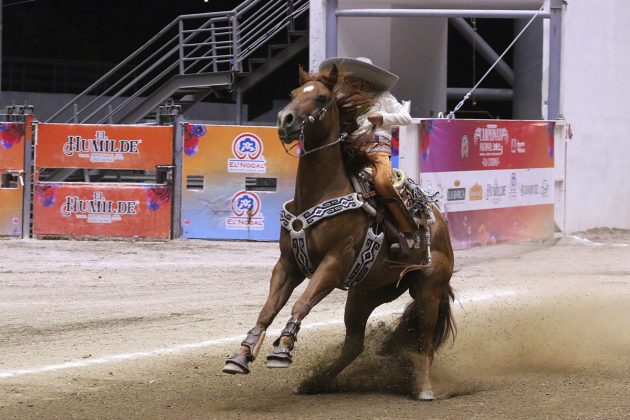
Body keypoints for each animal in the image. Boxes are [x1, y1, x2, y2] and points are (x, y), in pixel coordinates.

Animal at [222, 63, 454, 400]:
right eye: (293, 93)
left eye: (321, 98)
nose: (285, 120)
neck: (320, 193)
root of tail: (440, 224)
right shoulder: (288, 264)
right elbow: (268, 309)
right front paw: (241, 355)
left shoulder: (334, 263)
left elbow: (301, 303)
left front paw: (283, 349)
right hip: (364, 293)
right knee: (354, 344)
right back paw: (315, 382)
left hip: (429, 288)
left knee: (425, 339)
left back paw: (423, 388)